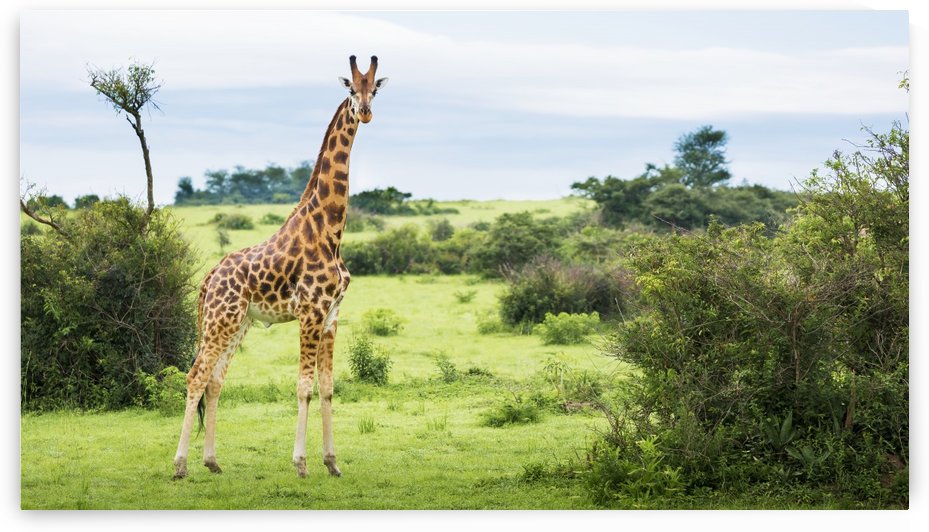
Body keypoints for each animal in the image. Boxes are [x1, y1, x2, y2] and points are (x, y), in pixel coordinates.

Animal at [173, 55, 388, 480]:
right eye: (351, 89)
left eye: (375, 88)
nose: (366, 112)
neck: (331, 229)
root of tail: (208, 279)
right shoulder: (311, 312)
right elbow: (303, 386)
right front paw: (301, 463)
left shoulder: (332, 315)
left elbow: (327, 386)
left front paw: (332, 463)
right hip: (219, 322)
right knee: (195, 377)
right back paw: (180, 465)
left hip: (238, 323)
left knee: (215, 380)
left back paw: (212, 461)